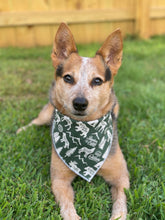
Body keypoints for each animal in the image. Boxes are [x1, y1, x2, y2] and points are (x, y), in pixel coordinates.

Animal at [17, 22, 130, 220]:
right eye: (68, 77)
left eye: (97, 81)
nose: (80, 103)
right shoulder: (59, 180)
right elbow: (68, 208)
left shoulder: (121, 177)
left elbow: (120, 204)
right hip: (47, 113)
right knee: (36, 121)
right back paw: (21, 130)